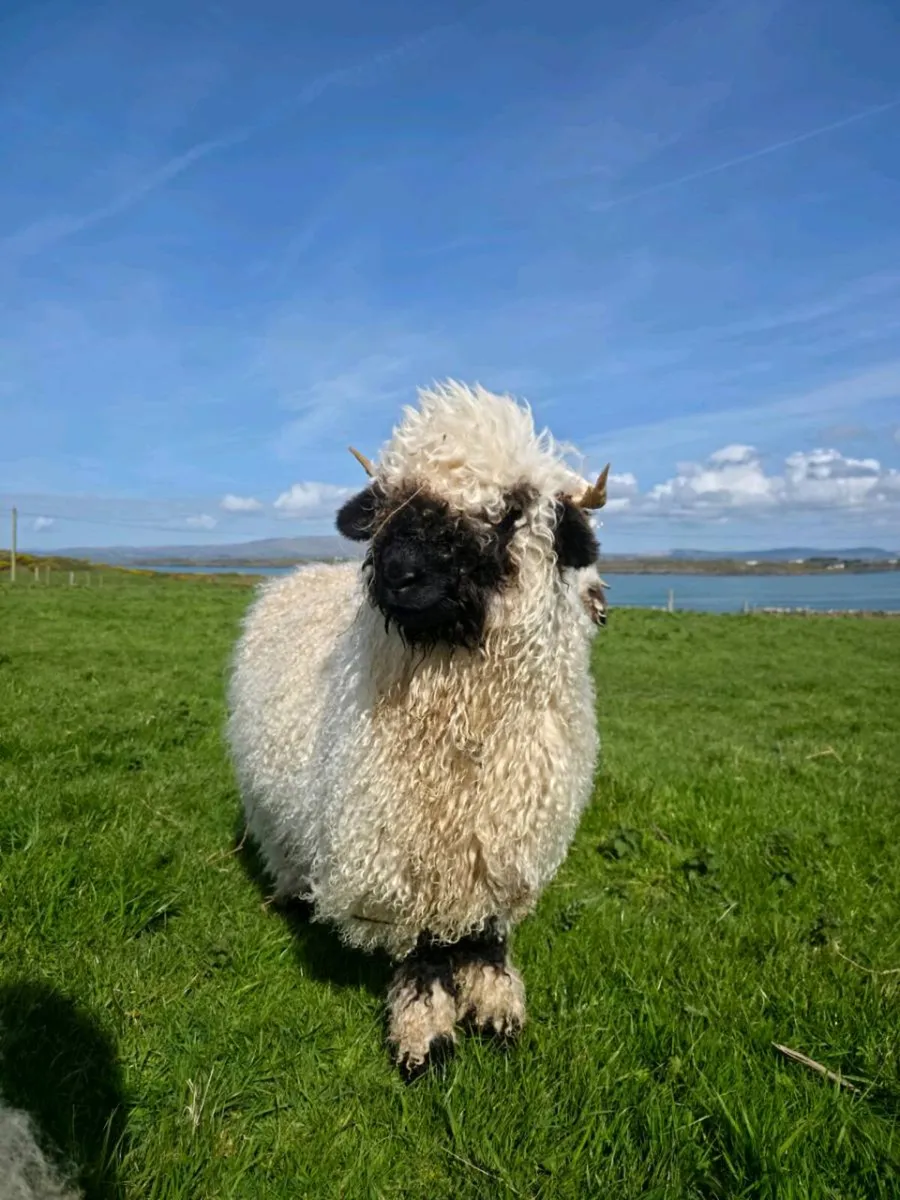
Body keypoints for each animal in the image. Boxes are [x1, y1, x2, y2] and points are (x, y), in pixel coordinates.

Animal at [226, 380, 610, 1077]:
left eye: (511, 510)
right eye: (389, 502)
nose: (397, 573)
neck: (463, 727)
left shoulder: (505, 833)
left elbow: (486, 931)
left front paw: (495, 1004)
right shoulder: (398, 845)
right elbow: (423, 946)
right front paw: (424, 1030)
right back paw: (292, 893)